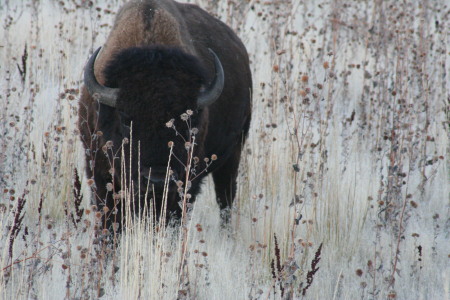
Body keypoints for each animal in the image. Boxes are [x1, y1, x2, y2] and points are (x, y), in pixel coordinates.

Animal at [78, 0, 251, 232]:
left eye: (186, 121)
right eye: (125, 118)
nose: (158, 180)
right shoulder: (99, 172)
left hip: (233, 154)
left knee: (225, 198)